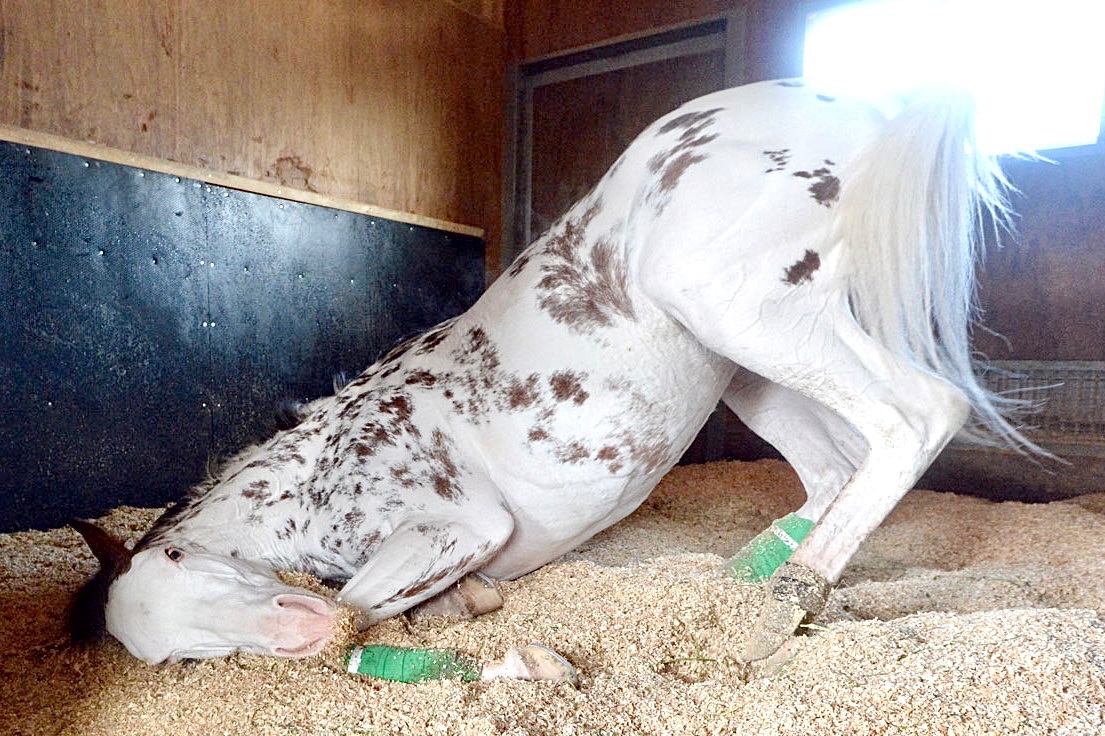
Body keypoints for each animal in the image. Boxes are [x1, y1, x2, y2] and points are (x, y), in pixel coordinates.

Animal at [70, 78, 1040, 667]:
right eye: (183, 659)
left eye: (190, 559)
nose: (299, 630)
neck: (307, 483)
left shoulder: (457, 525)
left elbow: (375, 600)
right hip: (748, 367)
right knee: (839, 467)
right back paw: (737, 589)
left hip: (745, 312)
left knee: (918, 417)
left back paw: (776, 612)